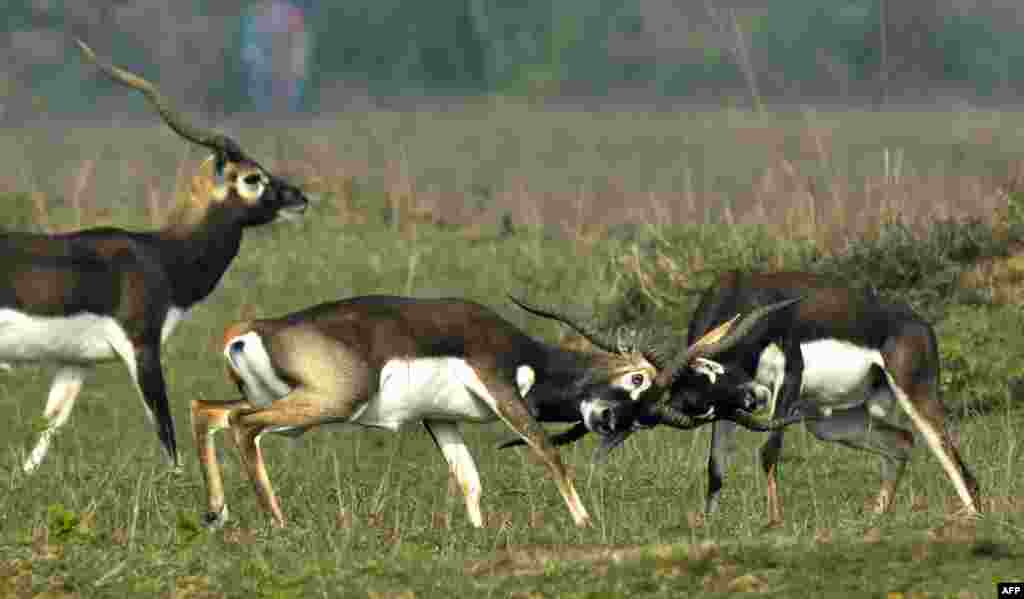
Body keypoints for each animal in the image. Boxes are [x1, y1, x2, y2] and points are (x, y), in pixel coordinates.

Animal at [3, 40, 307, 471]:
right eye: (252, 177)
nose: (299, 198)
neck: (162, 256)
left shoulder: (76, 362)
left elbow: (50, 425)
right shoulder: (142, 347)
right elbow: (166, 433)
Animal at [188, 294, 782, 528]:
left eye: (648, 414)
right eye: (635, 380)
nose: (609, 421)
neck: (525, 353)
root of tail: (253, 329)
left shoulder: (440, 419)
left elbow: (468, 478)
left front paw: (475, 532)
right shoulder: (502, 391)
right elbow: (547, 454)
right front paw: (585, 522)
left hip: (279, 401)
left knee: (206, 411)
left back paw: (217, 512)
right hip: (322, 405)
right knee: (241, 427)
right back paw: (276, 520)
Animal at [651, 270, 978, 524]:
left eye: (712, 374)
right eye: (707, 407)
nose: (754, 399)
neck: (745, 297)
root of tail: (920, 324)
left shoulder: (790, 375)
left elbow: (769, 451)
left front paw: (775, 521)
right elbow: (716, 467)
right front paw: (709, 523)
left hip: (915, 395)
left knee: (951, 458)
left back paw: (973, 517)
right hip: (828, 422)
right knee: (902, 441)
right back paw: (876, 518)